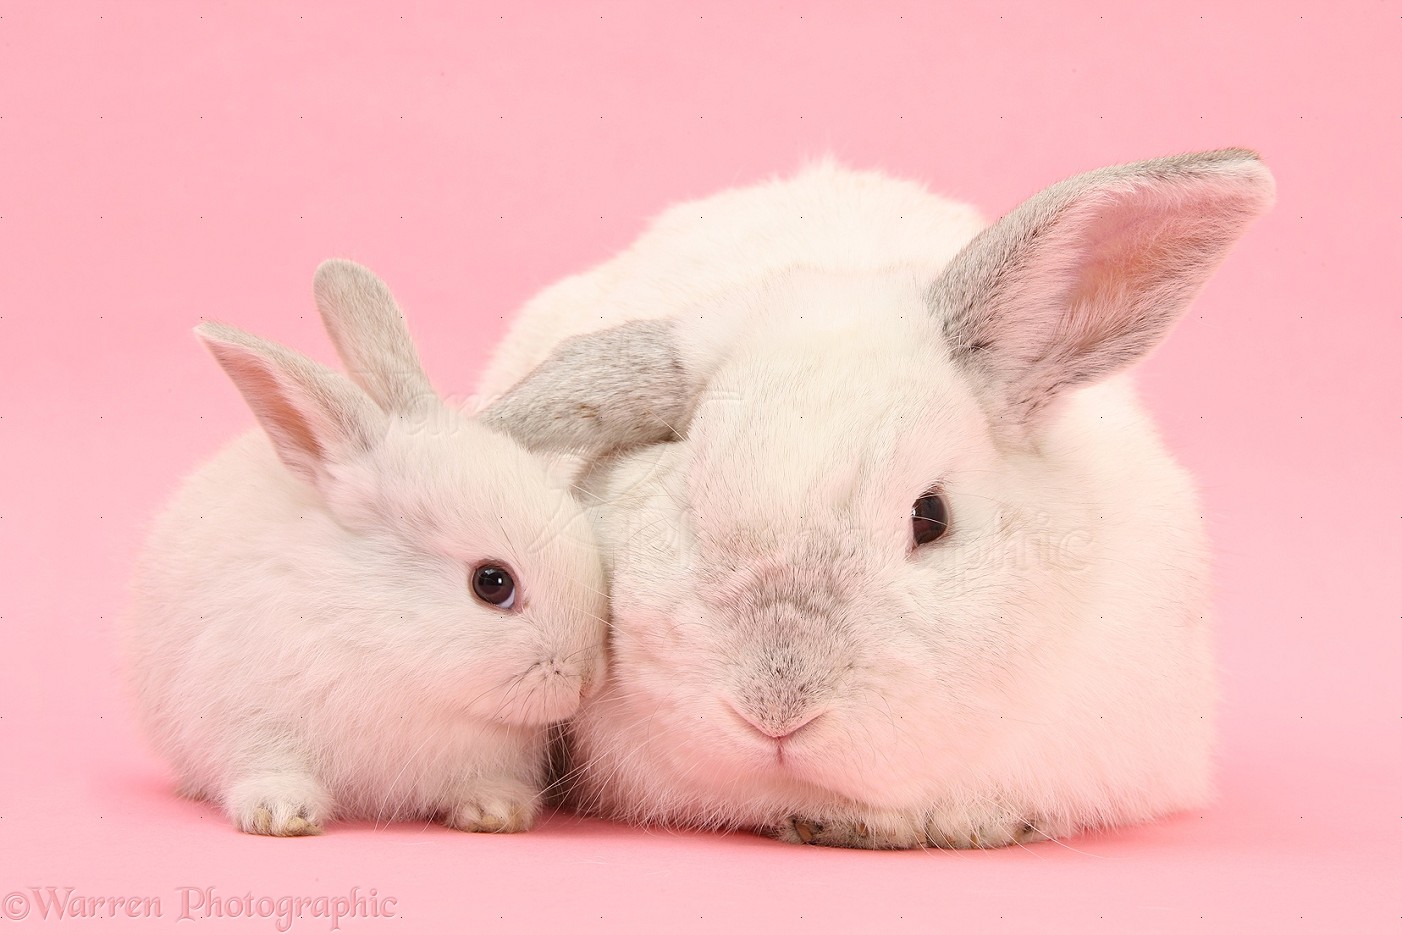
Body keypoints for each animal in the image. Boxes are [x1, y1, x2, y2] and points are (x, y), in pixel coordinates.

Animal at [130, 259, 608, 835]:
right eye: (492, 584)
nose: (584, 680)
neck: (376, 639)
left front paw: (496, 811)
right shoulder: (248, 723)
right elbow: (269, 768)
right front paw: (282, 815)